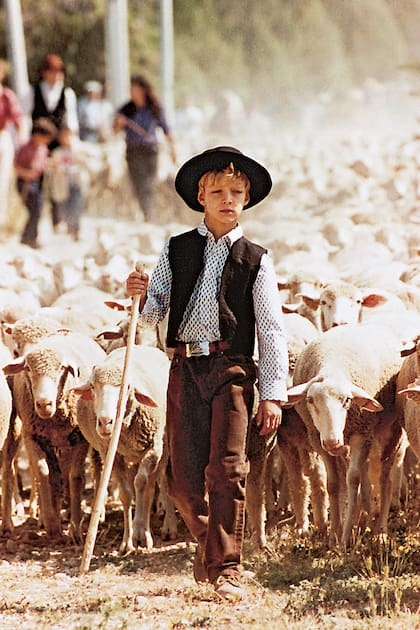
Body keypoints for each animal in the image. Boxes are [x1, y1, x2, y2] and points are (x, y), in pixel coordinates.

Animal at [3, 334, 106, 540]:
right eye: (28, 368)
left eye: (61, 369)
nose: (44, 404)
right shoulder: (33, 437)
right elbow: (43, 474)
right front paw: (51, 524)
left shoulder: (80, 438)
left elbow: (76, 477)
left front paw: (75, 529)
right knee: (56, 476)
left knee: (95, 468)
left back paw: (95, 515)